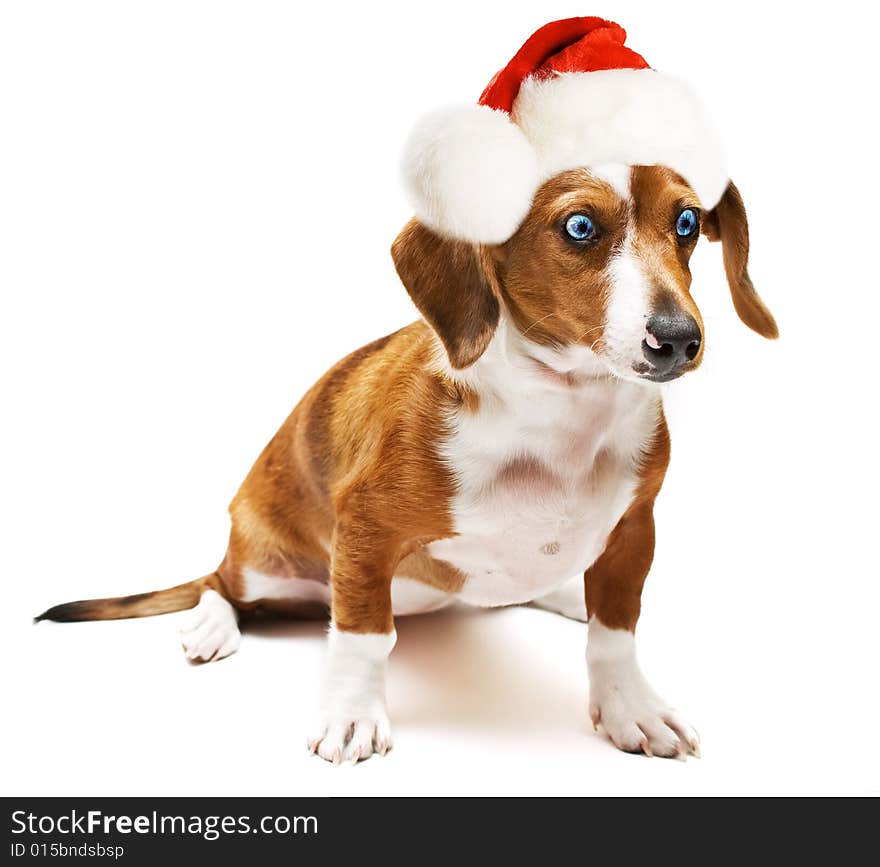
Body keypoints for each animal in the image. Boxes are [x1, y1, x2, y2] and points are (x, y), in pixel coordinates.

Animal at [34, 17, 776, 764]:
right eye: (579, 227)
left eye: (687, 223)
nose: (678, 338)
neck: (561, 417)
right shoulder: (365, 530)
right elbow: (364, 637)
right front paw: (352, 714)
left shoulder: (633, 532)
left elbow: (615, 631)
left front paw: (632, 705)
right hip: (264, 567)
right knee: (219, 586)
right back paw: (211, 625)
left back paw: (564, 590)